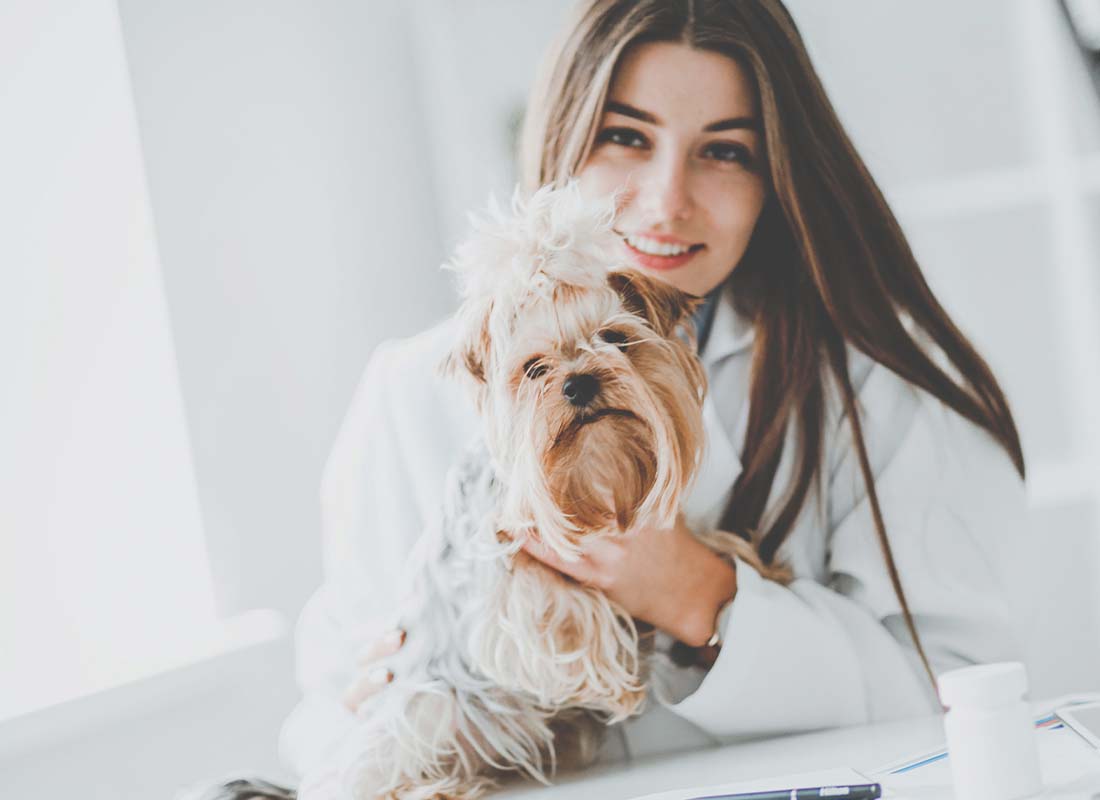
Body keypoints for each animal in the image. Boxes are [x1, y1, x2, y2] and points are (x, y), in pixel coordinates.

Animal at [338, 182, 778, 800]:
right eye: (534, 368)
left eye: (614, 338)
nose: (579, 382)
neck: (594, 468)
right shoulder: (504, 571)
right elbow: (557, 608)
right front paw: (617, 684)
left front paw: (752, 560)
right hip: (424, 705)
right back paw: (433, 786)